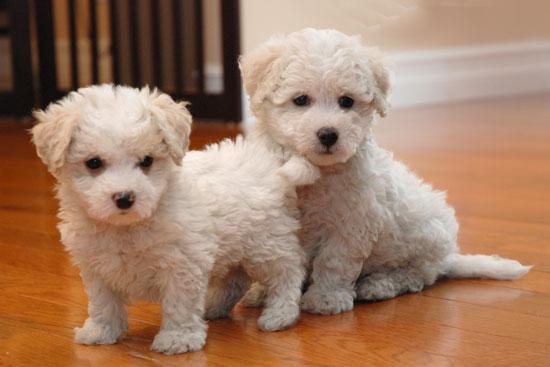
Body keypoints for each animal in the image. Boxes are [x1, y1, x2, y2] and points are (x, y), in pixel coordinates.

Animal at [32, 85, 322, 356]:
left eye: (146, 161)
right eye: (93, 163)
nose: (125, 198)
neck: (127, 226)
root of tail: (270, 162)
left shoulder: (182, 265)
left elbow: (179, 304)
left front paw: (178, 339)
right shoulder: (97, 268)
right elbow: (103, 303)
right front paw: (101, 331)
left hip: (266, 243)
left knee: (288, 271)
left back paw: (280, 314)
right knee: (236, 278)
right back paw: (214, 307)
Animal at [240, 28, 532, 316]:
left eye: (346, 101)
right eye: (300, 100)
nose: (328, 134)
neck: (316, 172)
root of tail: (448, 258)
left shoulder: (351, 224)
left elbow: (335, 262)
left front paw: (326, 298)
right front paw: (264, 292)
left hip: (425, 239)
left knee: (416, 276)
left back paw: (378, 285)